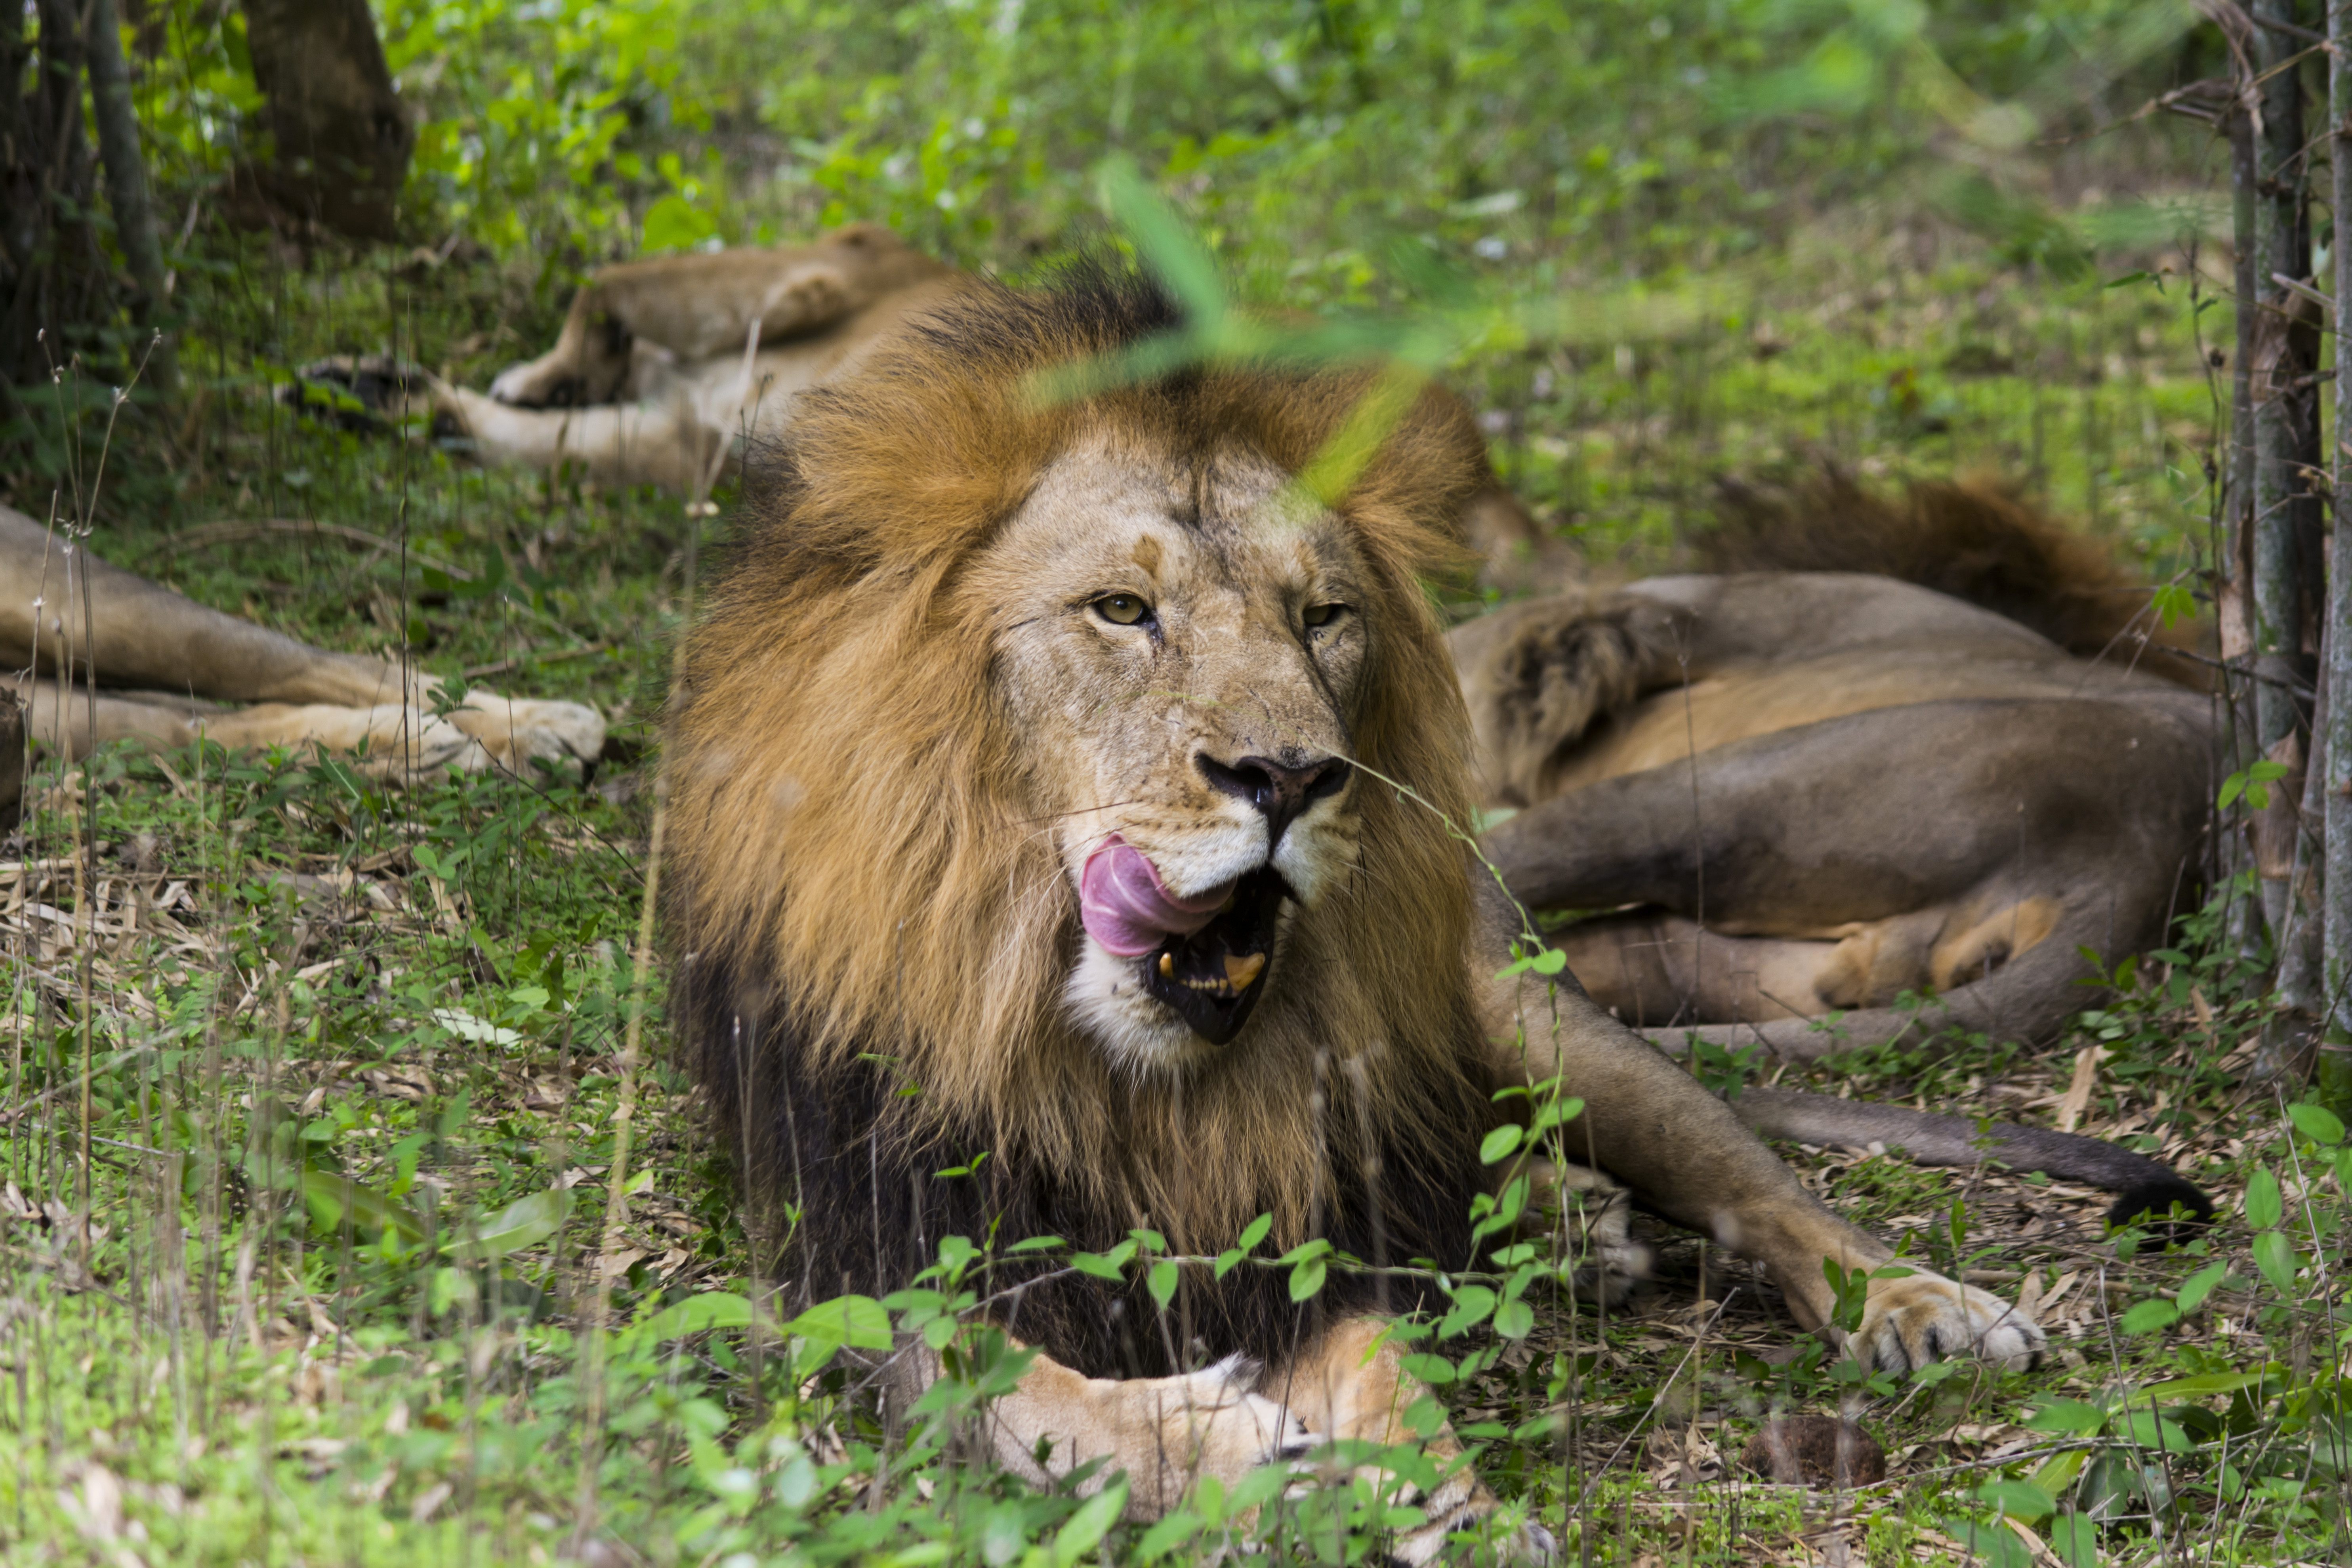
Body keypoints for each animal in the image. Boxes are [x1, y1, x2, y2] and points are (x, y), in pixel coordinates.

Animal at [663, 279, 2201, 1561]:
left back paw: (1903, 1299)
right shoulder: (865, 1266)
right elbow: (1022, 1392)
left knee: (1751, 1180)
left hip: (1540, 1019)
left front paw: (1444, 1500)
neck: (1138, 1081)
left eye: (1322, 616)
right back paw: (1574, 1228)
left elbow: (1391, 1371)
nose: (1288, 774)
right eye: (1120, 609)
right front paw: (1231, 1448)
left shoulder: (1315, 1235)